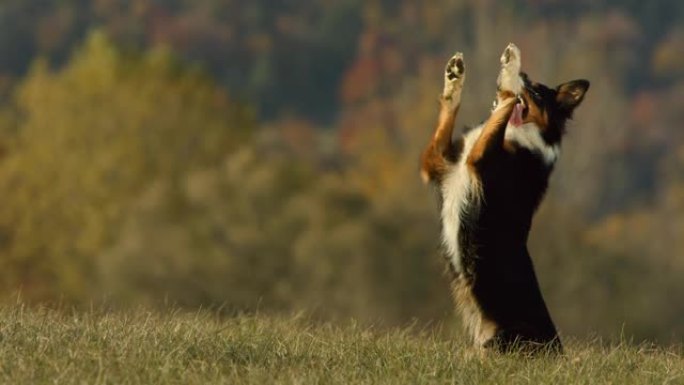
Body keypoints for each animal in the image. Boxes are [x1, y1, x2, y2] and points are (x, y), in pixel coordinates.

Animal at [422, 43, 588, 352]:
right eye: (531, 81)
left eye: (537, 93)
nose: (524, 73)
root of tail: (557, 351)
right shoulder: (437, 164)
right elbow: (450, 110)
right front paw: (454, 77)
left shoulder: (478, 162)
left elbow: (505, 105)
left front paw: (510, 70)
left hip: (505, 337)